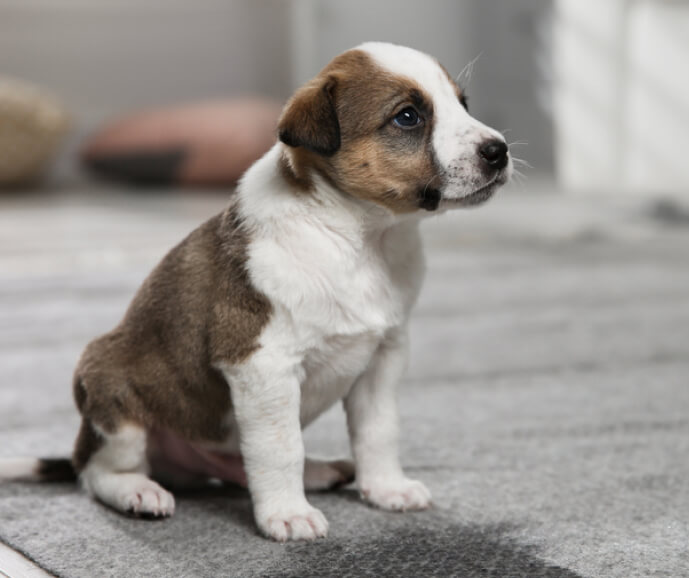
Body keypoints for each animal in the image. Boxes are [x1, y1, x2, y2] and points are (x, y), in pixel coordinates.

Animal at [1, 41, 510, 540]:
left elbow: (378, 431)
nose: (499, 150)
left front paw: (386, 489)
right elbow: (280, 448)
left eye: (462, 104)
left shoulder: (383, 358)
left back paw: (318, 472)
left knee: (234, 465)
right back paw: (138, 492)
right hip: (113, 401)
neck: (357, 238)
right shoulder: (263, 365)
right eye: (408, 117)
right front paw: (286, 515)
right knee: (97, 472)